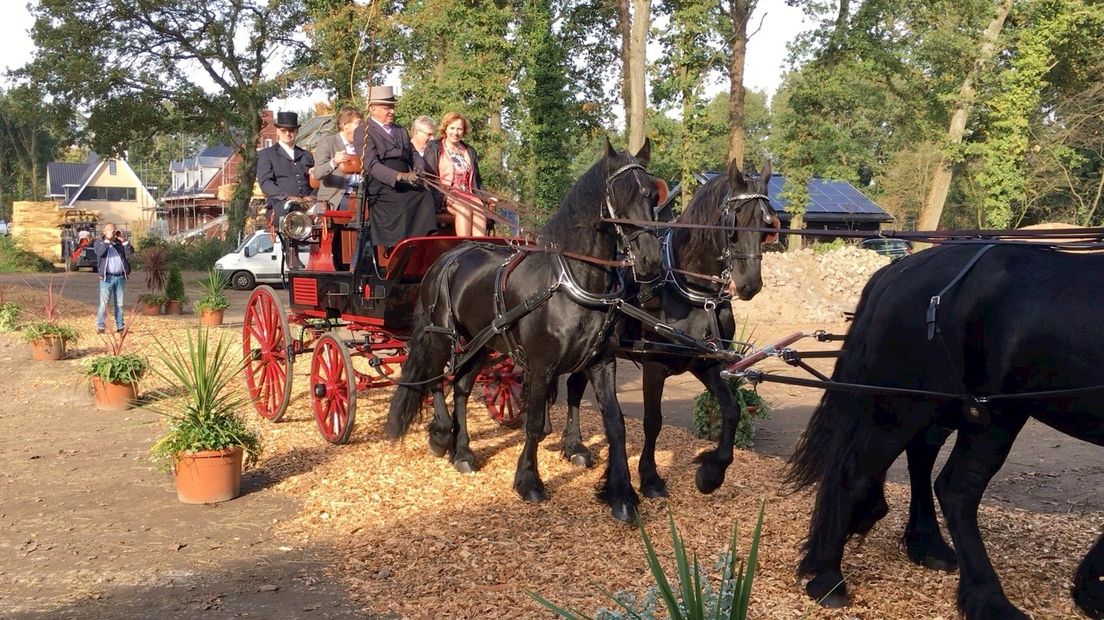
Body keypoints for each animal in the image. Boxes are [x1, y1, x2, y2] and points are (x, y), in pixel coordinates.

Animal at [386, 137, 657, 518]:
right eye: (619, 195)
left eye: (650, 194)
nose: (650, 259)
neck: (572, 280)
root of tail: (448, 258)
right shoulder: (542, 365)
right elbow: (533, 425)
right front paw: (529, 480)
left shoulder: (601, 362)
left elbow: (616, 425)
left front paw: (620, 494)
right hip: (442, 337)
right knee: (438, 380)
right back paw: (441, 435)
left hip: (482, 344)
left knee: (462, 387)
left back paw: (463, 452)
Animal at [565, 158, 781, 496]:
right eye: (734, 222)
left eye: (766, 223)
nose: (749, 284)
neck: (691, 290)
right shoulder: (654, 365)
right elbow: (653, 420)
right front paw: (650, 477)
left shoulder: (706, 362)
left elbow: (732, 409)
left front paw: (712, 472)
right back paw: (573, 445)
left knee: (573, 385)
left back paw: (574, 447)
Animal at [790, 242, 1104, 617]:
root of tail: (900, 270)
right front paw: (1093, 588)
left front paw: (1092, 588)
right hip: (922, 408)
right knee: (876, 475)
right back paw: (829, 577)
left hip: (982, 412)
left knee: (940, 474)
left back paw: (937, 555)